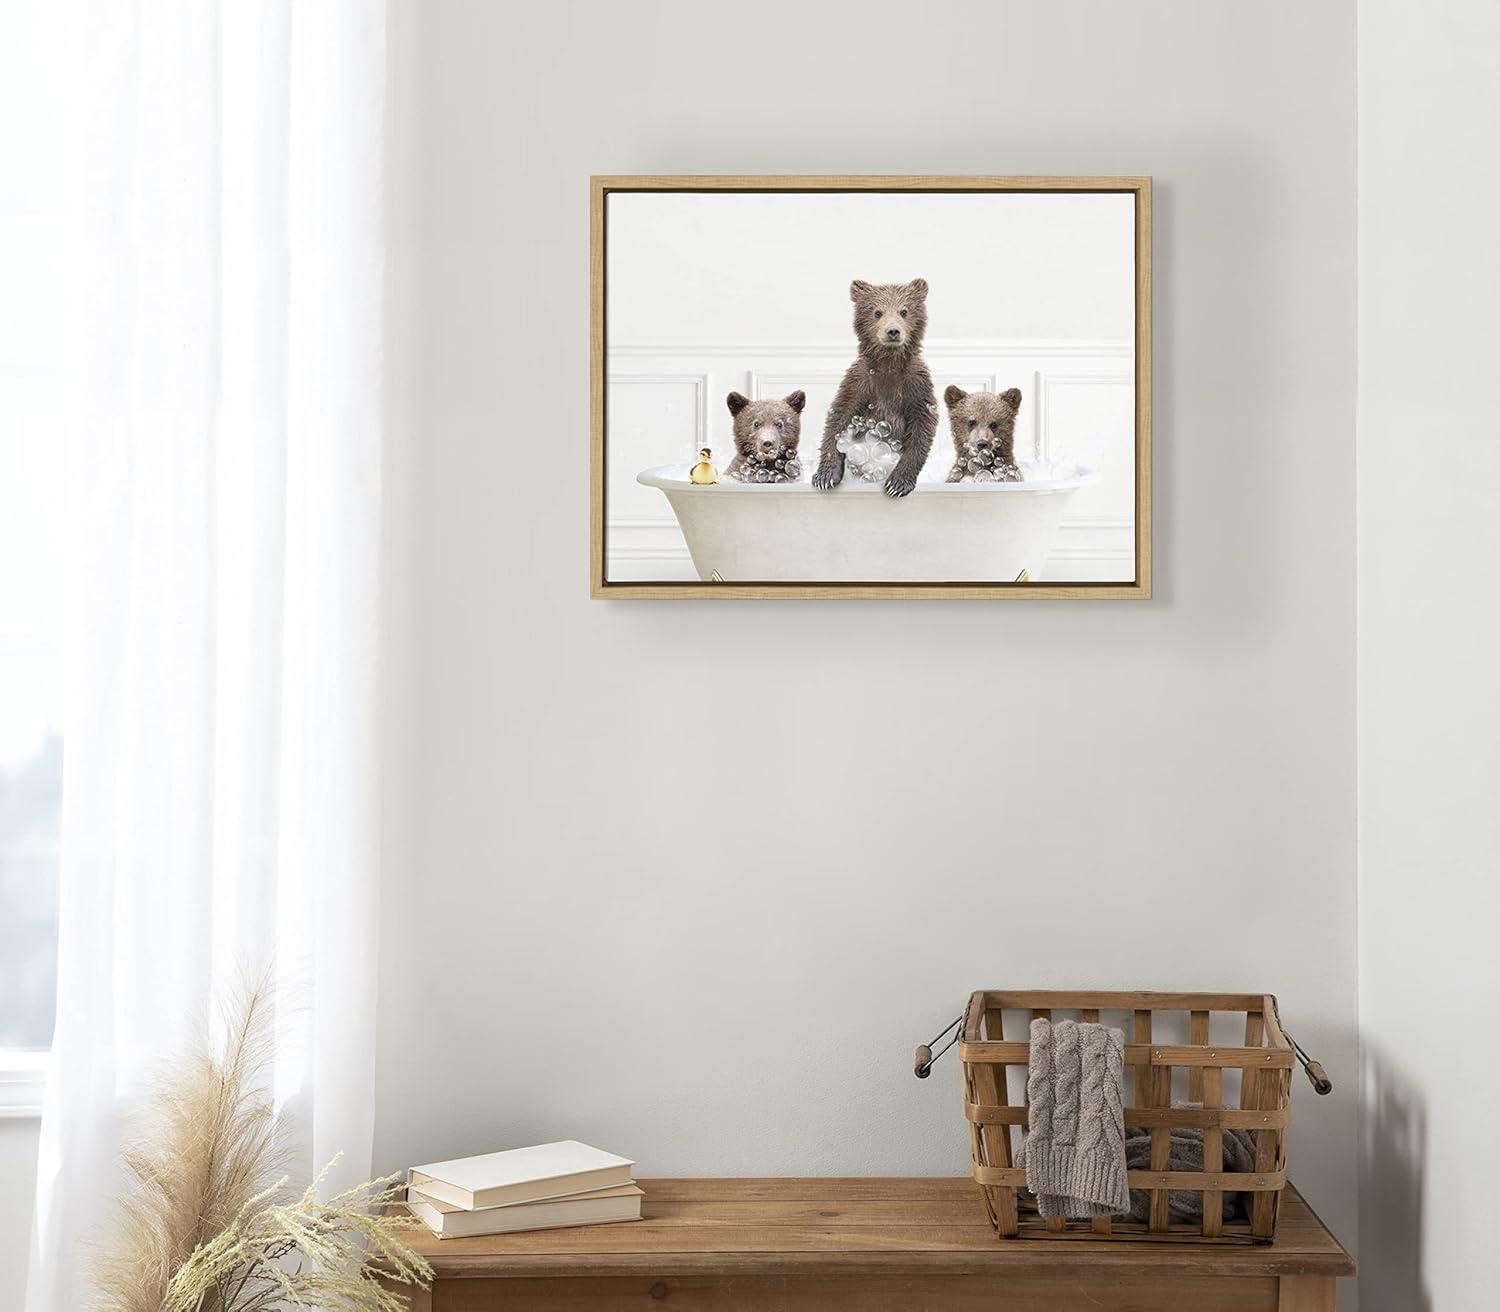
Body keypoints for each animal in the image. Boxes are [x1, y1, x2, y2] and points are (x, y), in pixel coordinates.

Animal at [812, 278, 937, 498]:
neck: (889, 364)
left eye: (904, 311)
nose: (893, 331)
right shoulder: (860, 382)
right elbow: (839, 419)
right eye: (877, 312)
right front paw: (825, 477)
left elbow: (921, 429)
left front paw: (897, 483)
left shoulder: (916, 385)